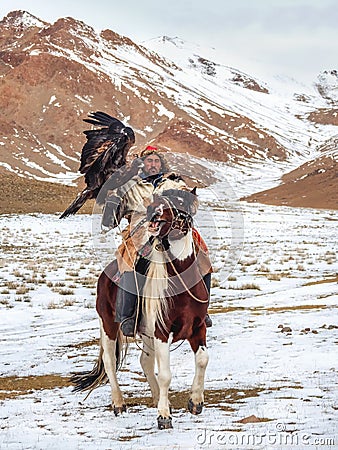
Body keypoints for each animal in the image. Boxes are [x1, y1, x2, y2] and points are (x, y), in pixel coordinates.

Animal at [71, 186, 209, 428]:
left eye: (181, 201)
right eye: (157, 200)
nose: (154, 215)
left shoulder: (198, 327)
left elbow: (202, 360)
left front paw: (195, 402)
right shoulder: (162, 332)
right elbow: (165, 374)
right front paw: (164, 416)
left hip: (146, 331)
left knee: (145, 360)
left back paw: (156, 398)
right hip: (109, 324)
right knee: (110, 361)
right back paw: (119, 403)